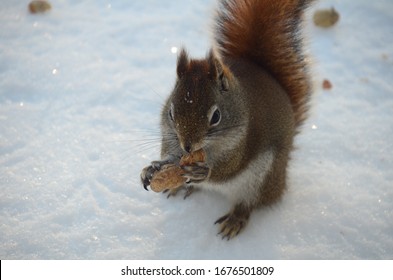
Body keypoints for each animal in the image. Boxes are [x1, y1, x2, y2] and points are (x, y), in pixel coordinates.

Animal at [141, 0, 312, 240]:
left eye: (216, 116)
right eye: (171, 113)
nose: (187, 146)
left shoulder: (243, 142)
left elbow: (230, 168)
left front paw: (204, 172)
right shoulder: (170, 137)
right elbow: (171, 157)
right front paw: (154, 167)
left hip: (261, 179)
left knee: (249, 203)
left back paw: (234, 219)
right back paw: (181, 185)